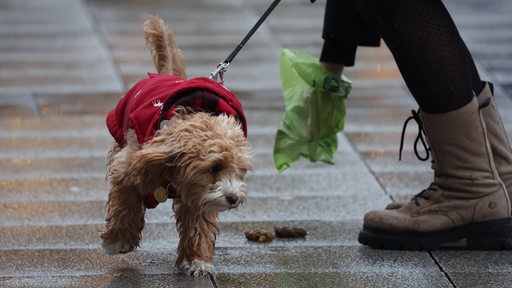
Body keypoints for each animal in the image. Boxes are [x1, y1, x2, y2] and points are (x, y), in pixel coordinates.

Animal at [100, 15, 252, 276]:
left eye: (240, 170)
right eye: (214, 167)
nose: (233, 198)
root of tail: (165, 75)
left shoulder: (201, 195)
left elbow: (199, 225)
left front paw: (198, 260)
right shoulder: (129, 166)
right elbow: (125, 202)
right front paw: (117, 240)